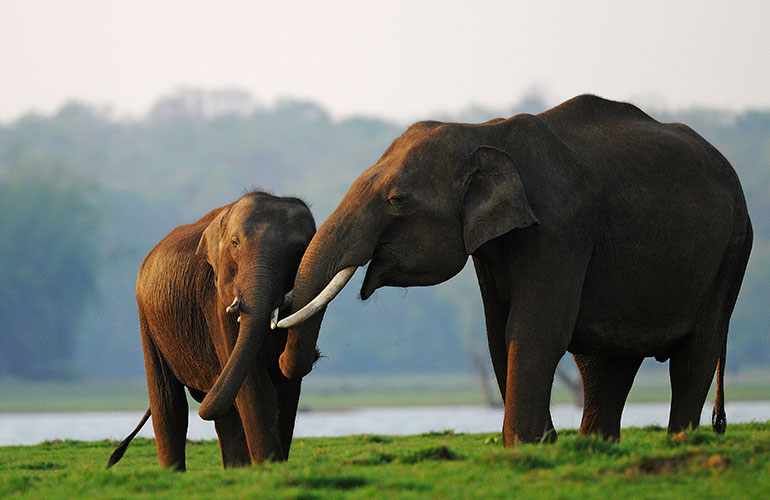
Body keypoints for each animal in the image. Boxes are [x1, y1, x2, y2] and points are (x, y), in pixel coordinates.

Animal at [107, 191, 316, 470]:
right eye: (235, 243)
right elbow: (253, 384)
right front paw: (269, 468)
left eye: (298, 251)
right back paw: (174, 473)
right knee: (169, 404)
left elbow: (286, 384)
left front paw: (273, 468)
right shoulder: (215, 303)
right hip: (147, 318)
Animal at [276, 95, 753, 445]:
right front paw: (541, 444)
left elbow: (535, 330)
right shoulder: (492, 248)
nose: (306, 359)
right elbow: (497, 333)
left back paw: (680, 442)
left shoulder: (561, 228)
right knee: (604, 364)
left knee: (695, 353)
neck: (485, 131)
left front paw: (526, 446)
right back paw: (592, 449)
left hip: (731, 252)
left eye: (398, 199)